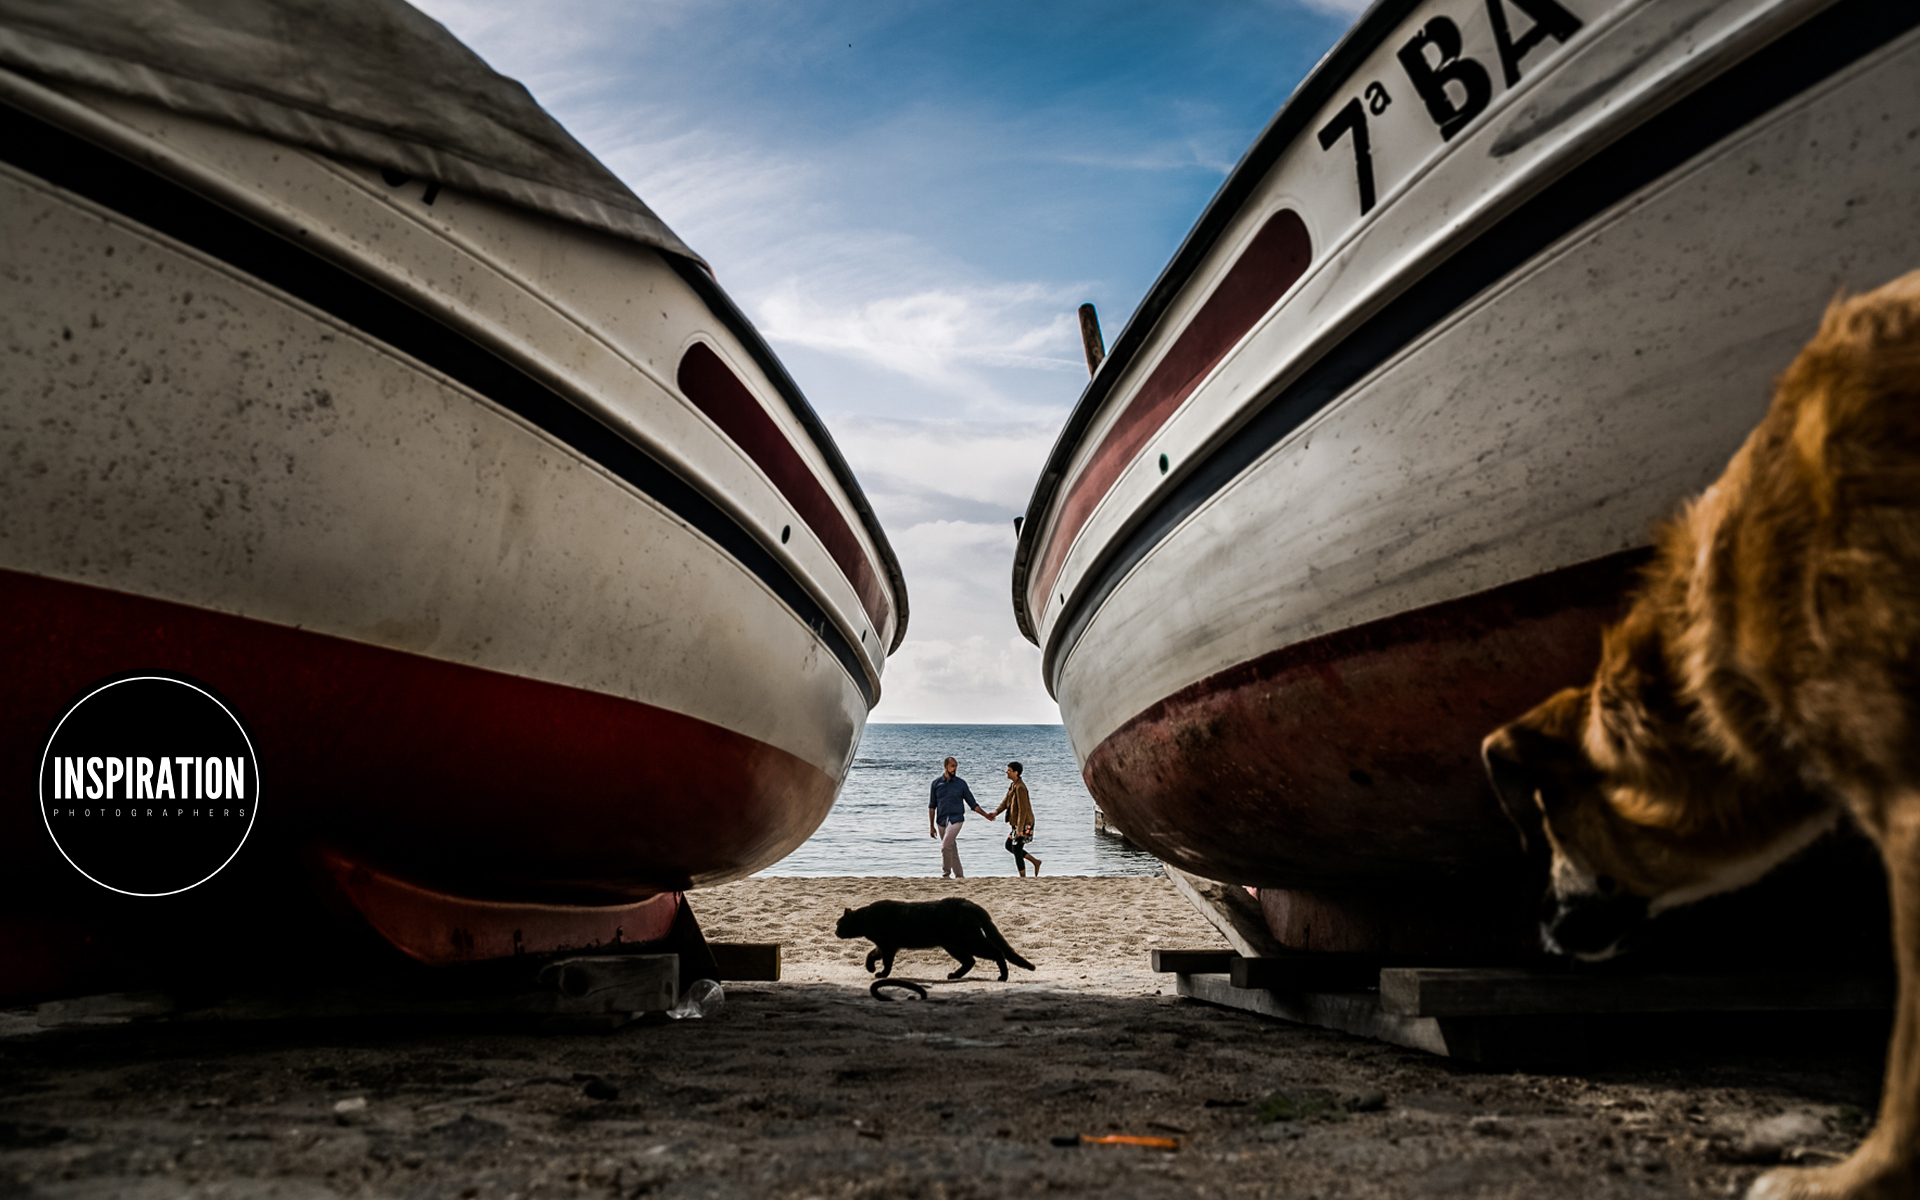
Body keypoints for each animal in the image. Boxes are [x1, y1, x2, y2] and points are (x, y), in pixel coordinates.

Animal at [837, 894, 1036, 979]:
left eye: (839, 924)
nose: (835, 931)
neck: (866, 918)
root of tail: (968, 903)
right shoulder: (883, 946)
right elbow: (870, 955)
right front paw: (870, 968)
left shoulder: (888, 946)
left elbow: (886, 963)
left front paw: (881, 974)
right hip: (953, 945)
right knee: (970, 961)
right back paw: (954, 975)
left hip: (969, 940)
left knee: (996, 953)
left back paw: (1003, 976)